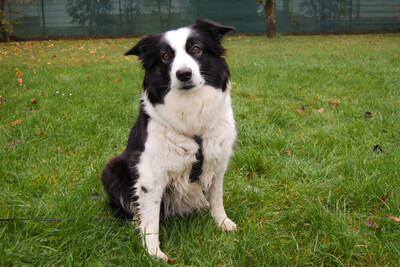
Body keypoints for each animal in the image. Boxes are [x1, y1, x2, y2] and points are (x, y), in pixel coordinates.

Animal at [101, 18, 238, 262]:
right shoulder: (150, 174)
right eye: (165, 56)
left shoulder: (218, 162)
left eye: (196, 49)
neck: (191, 116)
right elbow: (151, 221)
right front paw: (153, 252)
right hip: (111, 168)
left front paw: (222, 222)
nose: (183, 74)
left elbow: (217, 197)